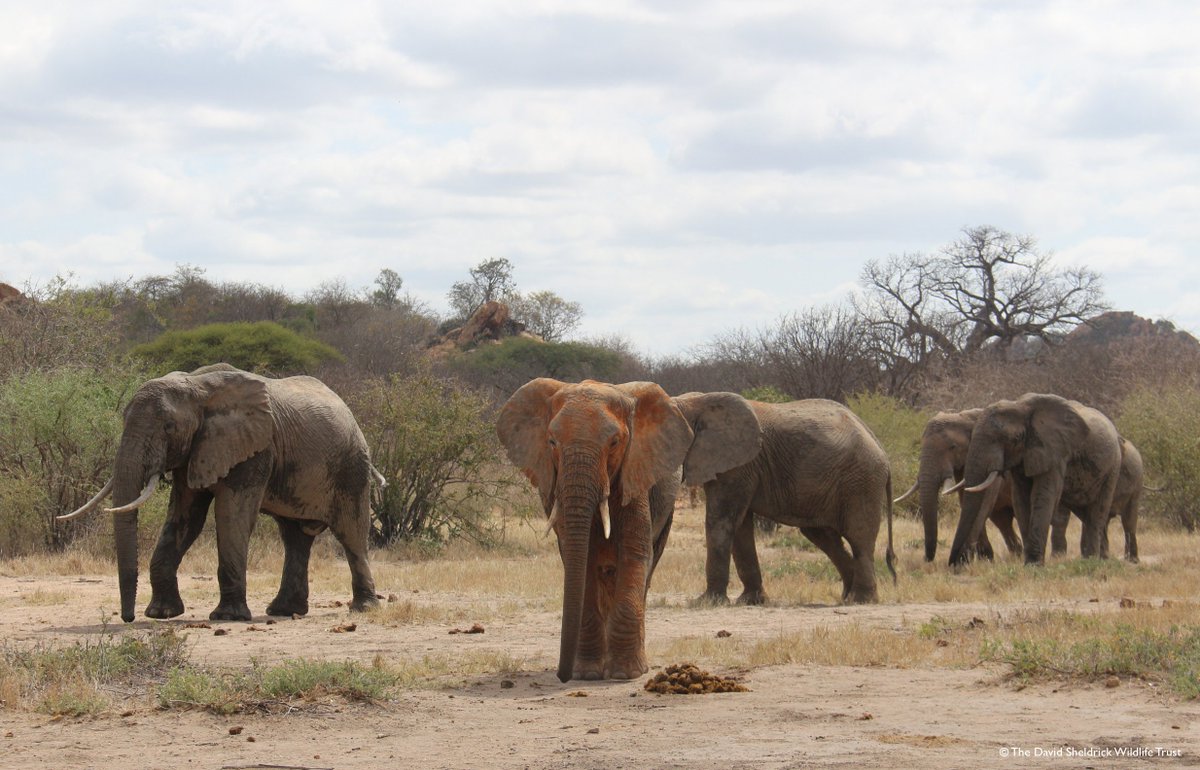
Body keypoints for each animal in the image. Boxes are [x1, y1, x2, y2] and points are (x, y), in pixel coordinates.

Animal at [59, 363, 380, 623]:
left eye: (168, 427)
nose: (128, 618)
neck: (197, 387)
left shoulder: (255, 449)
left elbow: (232, 516)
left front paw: (228, 617)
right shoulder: (195, 451)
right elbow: (185, 519)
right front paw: (161, 614)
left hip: (352, 468)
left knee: (351, 533)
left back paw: (363, 608)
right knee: (294, 538)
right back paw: (284, 611)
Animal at [497, 379, 760, 682]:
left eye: (614, 443)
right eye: (551, 442)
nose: (563, 676)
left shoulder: (636, 474)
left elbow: (634, 554)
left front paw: (625, 674)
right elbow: (583, 562)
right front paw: (586, 673)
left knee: (646, 569)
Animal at [680, 396, 897, 606]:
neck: (697, 401)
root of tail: (881, 449)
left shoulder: (738, 464)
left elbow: (721, 521)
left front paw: (706, 601)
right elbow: (740, 526)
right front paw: (751, 601)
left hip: (861, 481)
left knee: (859, 537)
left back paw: (860, 599)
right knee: (823, 536)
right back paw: (847, 597)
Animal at [895, 409, 1023, 562]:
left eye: (953, 447)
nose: (925, 559)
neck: (966, 417)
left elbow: (983, 503)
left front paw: (965, 560)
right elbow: (967, 502)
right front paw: (983, 558)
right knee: (1003, 521)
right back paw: (1017, 555)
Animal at [948, 393, 1121, 567]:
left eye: (1011, 438)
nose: (956, 565)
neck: (1020, 406)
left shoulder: (1055, 452)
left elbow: (1043, 496)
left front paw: (1034, 565)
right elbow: (1021, 499)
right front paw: (1029, 564)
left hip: (1112, 469)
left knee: (1096, 514)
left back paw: (1092, 561)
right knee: (1084, 514)